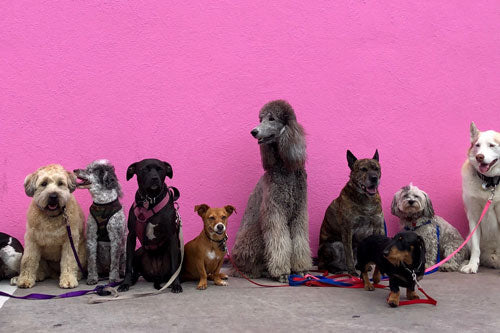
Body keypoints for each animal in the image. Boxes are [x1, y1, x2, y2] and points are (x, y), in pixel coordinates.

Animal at [118, 158, 183, 290]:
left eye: (160, 169)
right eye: (144, 169)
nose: (154, 178)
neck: (150, 201)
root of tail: (157, 275)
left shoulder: (172, 236)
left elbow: (175, 267)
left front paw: (176, 284)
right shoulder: (131, 236)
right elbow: (128, 265)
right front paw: (125, 283)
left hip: (178, 251)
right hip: (138, 252)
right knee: (136, 271)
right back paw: (132, 280)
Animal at [460, 122, 500, 272]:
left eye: (492, 145)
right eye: (477, 145)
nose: (479, 157)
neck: (490, 183)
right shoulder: (473, 216)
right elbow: (476, 248)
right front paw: (472, 265)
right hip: (468, 240)